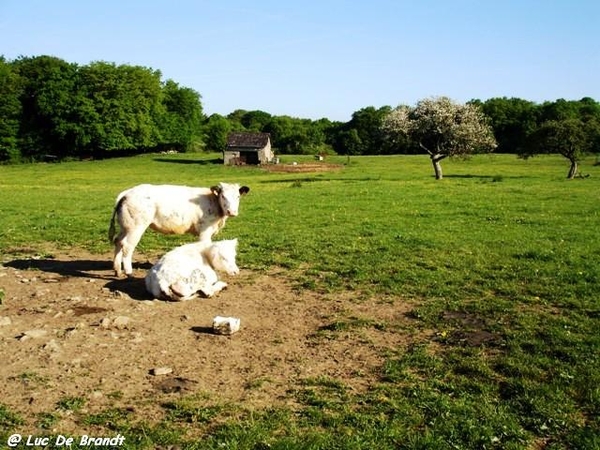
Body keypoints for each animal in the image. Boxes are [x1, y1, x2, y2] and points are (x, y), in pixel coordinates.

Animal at [108, 181, 248, 276]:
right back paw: (128, 271)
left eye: (238, 196)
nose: (232, 212)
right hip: (136, 227)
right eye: (223, 196)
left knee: (118, 241)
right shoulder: (205, 230)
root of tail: (127, 193)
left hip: (125, 226)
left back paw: (117, 270)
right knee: (127, 246)